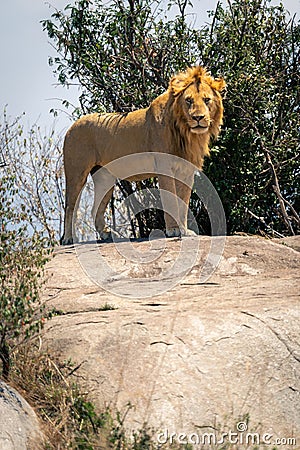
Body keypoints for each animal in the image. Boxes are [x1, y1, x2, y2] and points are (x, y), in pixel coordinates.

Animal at [61, 65, 225, 244]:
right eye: (188, 100)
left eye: (207, 100)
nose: (198, 118)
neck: (187, 133)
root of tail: (72, 126)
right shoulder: (165, 168)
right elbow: (170, 200)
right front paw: (174, 230)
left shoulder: (186, 171)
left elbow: (183, 202)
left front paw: (185, 230)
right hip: (77, 172)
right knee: (70, 207)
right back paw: (69, 239)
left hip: (104, 177)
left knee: (95, 208)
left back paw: (107, 235)